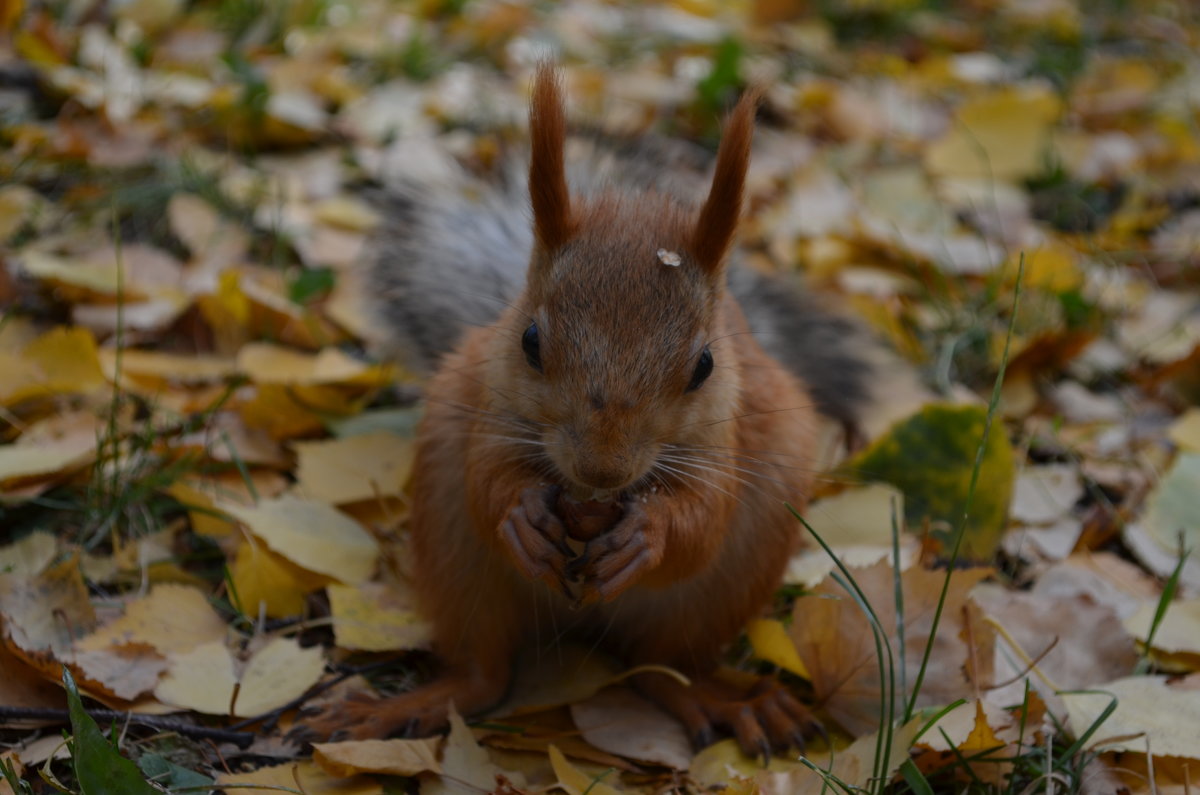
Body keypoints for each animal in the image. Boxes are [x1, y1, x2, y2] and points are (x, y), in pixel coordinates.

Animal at [300, 65, 883, 758]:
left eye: (705, 366)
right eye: (529, 340)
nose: (601, 472)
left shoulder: (725, 442)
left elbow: (703, 522)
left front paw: (649, 534)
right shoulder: (487, 410)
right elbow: (486, 481)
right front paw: (521, 513)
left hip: (732, 576)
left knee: (662, 670)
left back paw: (727, 701)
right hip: (453, 549)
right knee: (484, 673)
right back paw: (401, 707)